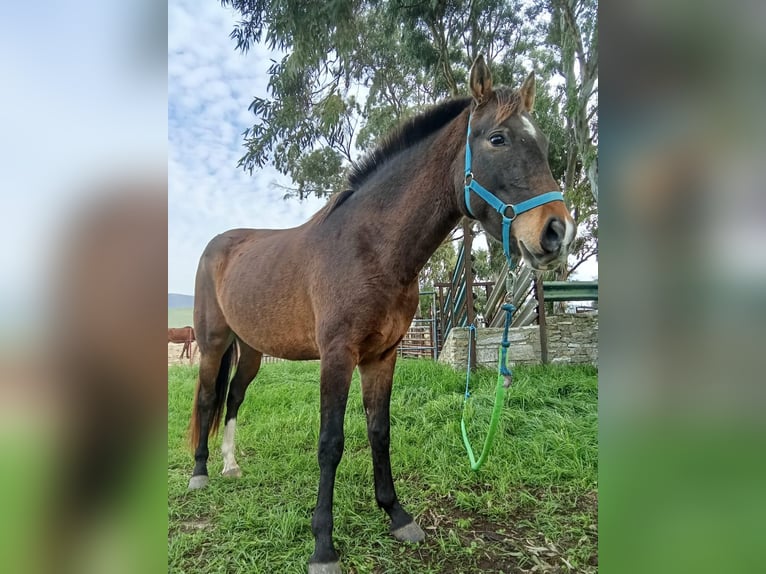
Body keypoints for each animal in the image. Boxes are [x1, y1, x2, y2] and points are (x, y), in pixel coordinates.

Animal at [189, 56, 576, 572]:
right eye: (498, 139)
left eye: (545, 145)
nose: (557, 232)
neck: (372, 248)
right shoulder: (337, 356)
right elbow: (330, 443)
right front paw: (323, 546)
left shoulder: (383, 356)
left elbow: (379, 431)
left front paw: (396, 514)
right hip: (213, 343)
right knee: (208, 398)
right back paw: (200, 473)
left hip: (251, 349)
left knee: (233, 397)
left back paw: (231, 465)